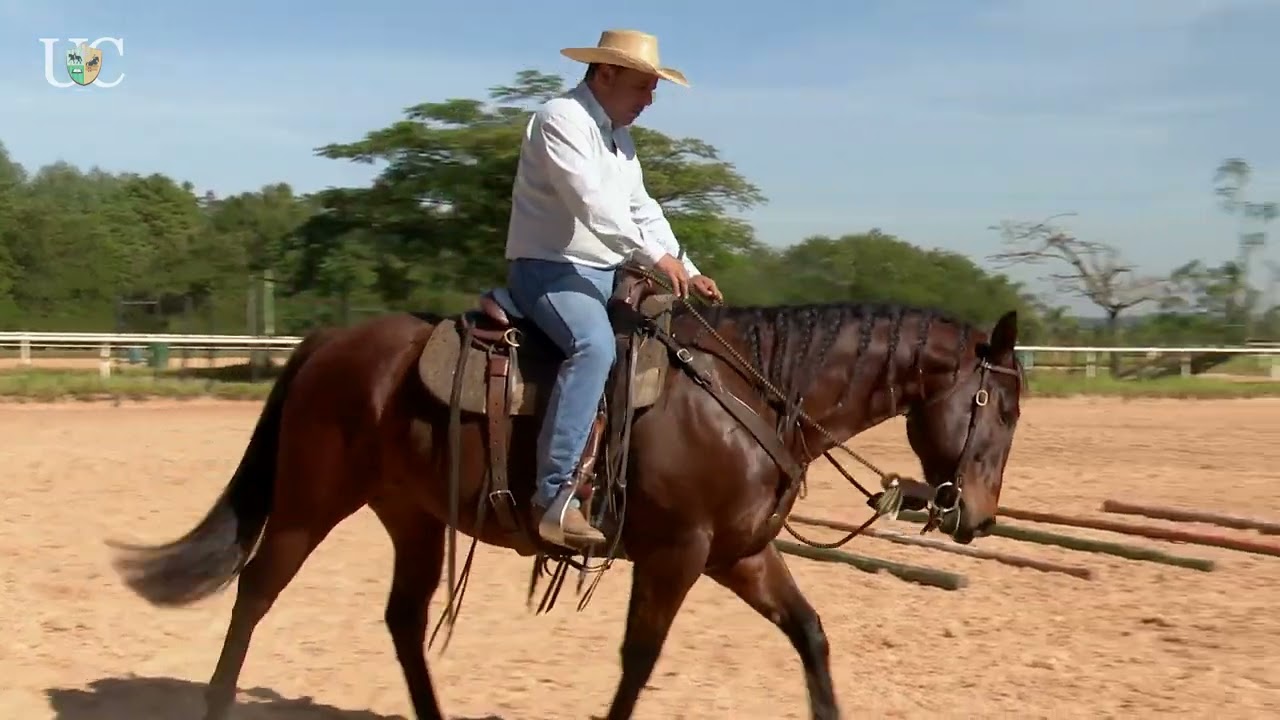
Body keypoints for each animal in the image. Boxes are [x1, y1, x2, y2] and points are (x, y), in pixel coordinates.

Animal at [112, 286, 1029, 717]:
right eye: (1005, 408)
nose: (976, 516)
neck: (752, 395)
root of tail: (330, 342)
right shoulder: (677, 555)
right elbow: (639, 662)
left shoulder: (741, 555)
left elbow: (810, 637)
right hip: (311, 502)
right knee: (256, 591)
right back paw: (217, 702)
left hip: (412, 516)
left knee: (404, 621)